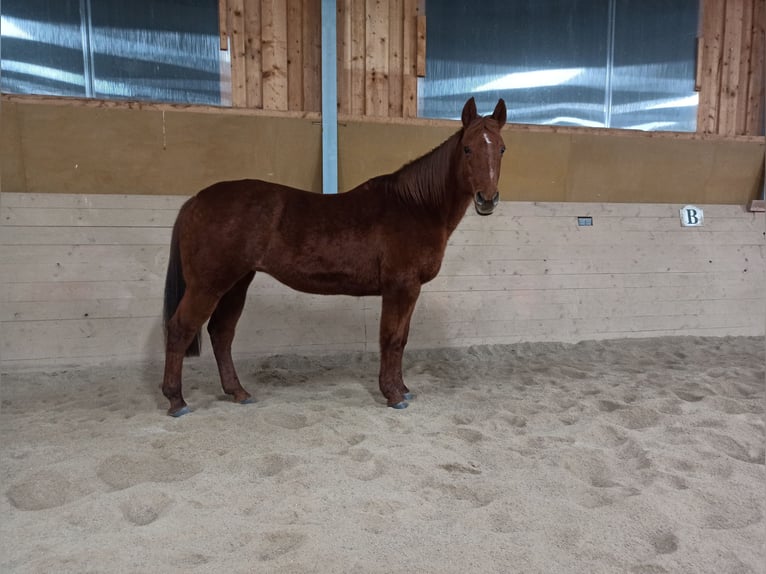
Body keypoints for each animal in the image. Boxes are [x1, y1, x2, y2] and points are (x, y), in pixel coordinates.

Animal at [162, 99, 508, 418]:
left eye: (501, 149)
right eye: (467, 149)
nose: (487, 200)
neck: (416, 206)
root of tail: (196, 200)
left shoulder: (409, 290)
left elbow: (402, 339)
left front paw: (403, 388)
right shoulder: (401, 287)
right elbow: (392, 339)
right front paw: (394, 394)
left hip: (236, 283)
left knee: (221, 333)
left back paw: (238, 392)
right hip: (208, 285)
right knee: (180, 329)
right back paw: (176, 401)